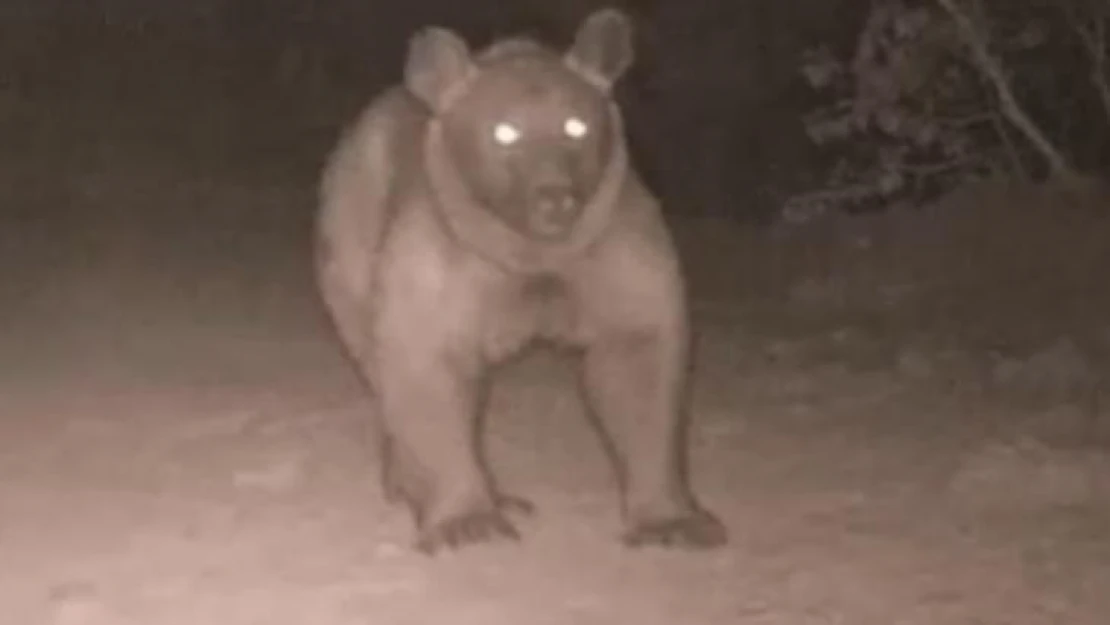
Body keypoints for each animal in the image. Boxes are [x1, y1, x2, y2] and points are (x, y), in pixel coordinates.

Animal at [313, 4, 728, 552]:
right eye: (504, 133)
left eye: (576, 126)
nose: (553, 196)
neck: (533, 253)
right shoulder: (440, 266)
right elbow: (427, 378)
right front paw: (466, 522)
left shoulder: (619, 249)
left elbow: (639, 376)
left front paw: (672, 521)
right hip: (353, 234)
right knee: (379, 362)